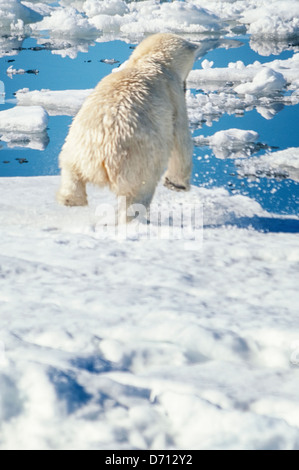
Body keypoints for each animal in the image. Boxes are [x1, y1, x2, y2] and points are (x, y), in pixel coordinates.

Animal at [57, 35, 200, 222]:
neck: (148, 62)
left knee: (70, 173)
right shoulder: (174, 96)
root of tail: (101, 153)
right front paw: (177, 184)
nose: (186, 86)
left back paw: (70, 200)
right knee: (138, 194)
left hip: (75, 145)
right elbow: (180, 140)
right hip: (137, 163)